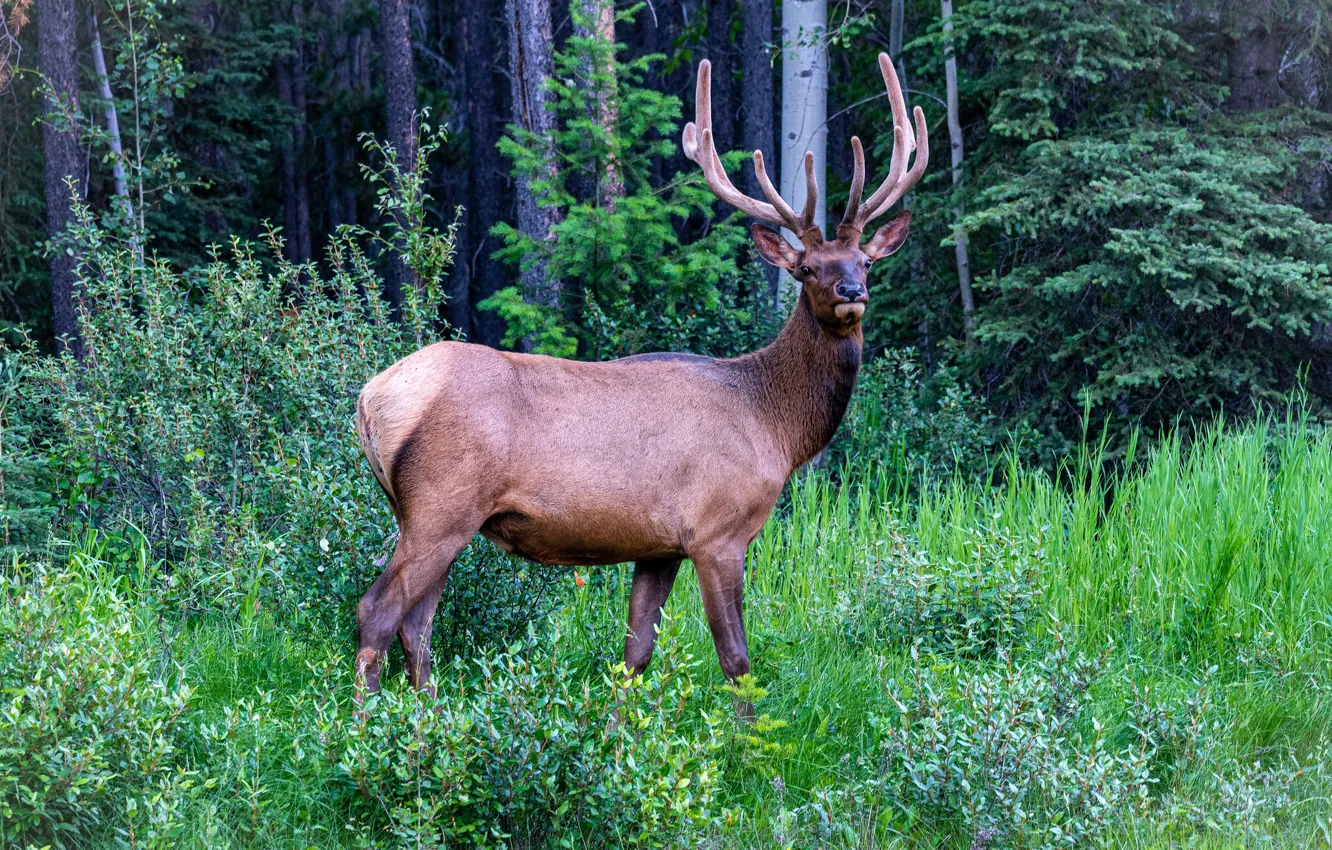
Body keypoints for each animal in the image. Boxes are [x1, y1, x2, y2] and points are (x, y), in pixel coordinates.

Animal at [352, 53, 928, 709]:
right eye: (808, 268)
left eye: (866, 261)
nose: (851, 291)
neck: (775, 425)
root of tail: (370, 399)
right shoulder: (717, 530)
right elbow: (737, 661)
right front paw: (753, 740)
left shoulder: (659, 546)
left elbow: (635, 655)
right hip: (440, 504)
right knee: (377, 612)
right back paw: (367, 727)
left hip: (432, 515)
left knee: (418, 625)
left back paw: (429, 720)